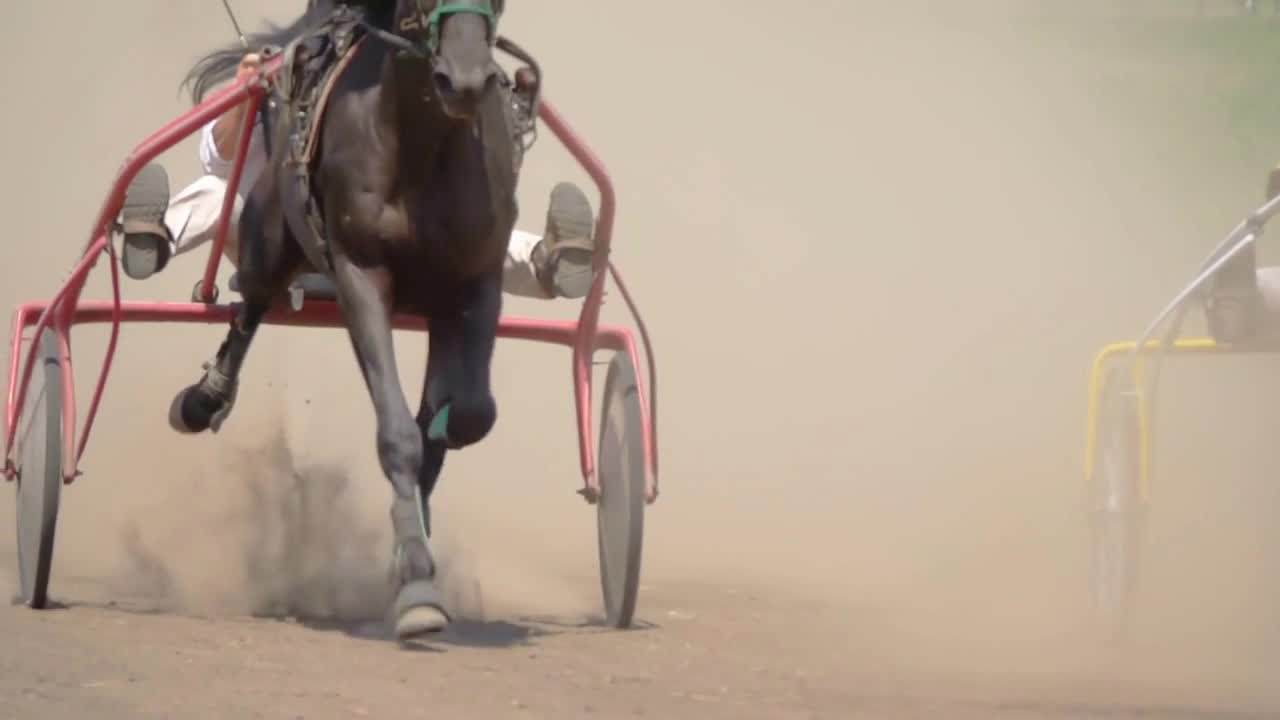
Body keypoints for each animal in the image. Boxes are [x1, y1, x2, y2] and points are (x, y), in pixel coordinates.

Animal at [174, 0, 514, 638]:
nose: (464, 78)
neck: (424, 142)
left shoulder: (476, 282)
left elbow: (469, 414)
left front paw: (412, 547)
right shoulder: (360, 274)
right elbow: (400, 433)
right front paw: (416, 581)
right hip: (267, 235)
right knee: (251, 301)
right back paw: (203, 398)